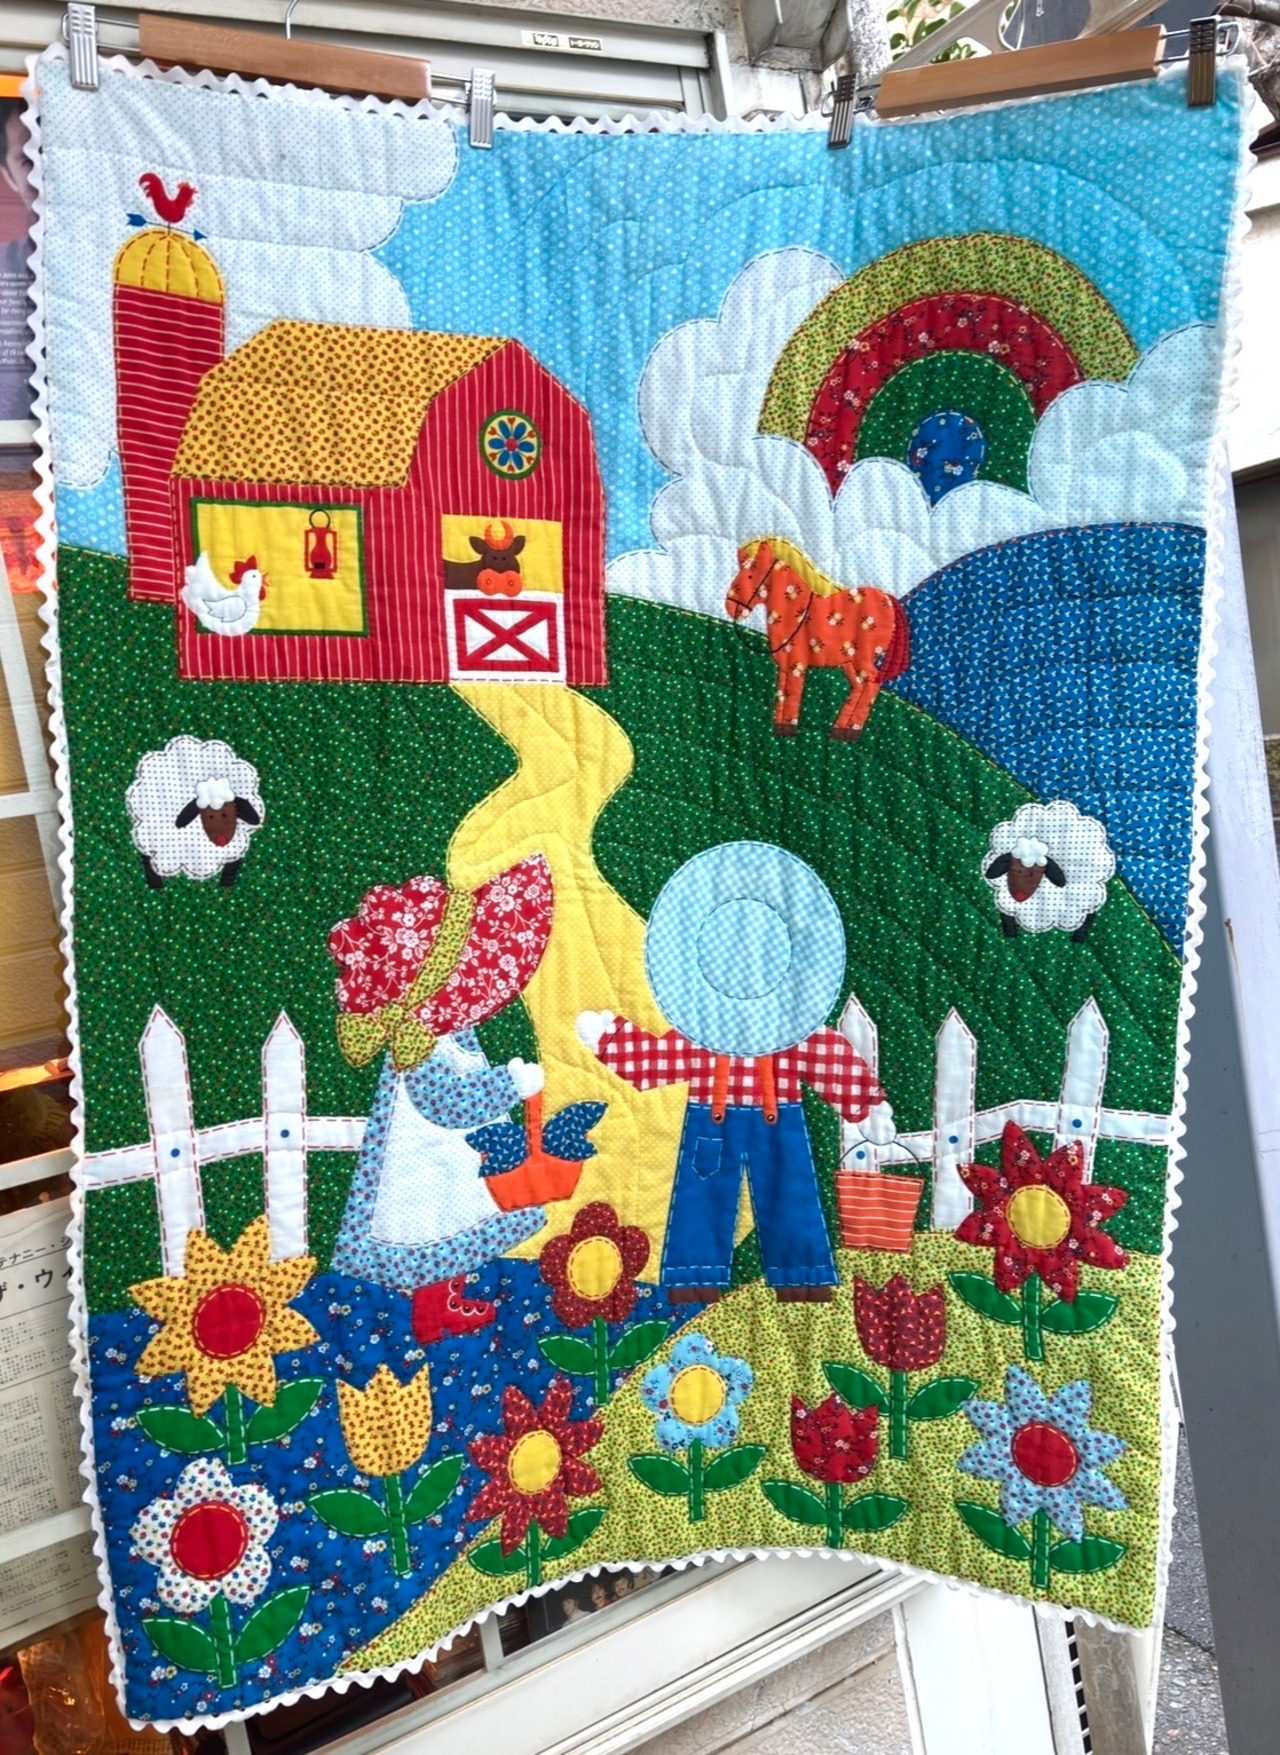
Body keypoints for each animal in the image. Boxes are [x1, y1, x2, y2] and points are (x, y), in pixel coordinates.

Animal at [126, 737, 264, 890]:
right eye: (209, 816)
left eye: (228, 813)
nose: (221, 841)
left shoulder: (234, 850)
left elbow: (231, 867)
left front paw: (226, 883)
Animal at [725, 537, 911, 740]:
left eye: (750, 577)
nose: (730, 608)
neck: (794, 609)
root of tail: (888, 598)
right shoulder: (784, 666)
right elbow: (782, 693)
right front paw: (779, 728)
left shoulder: (796, 664)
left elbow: (792, 694)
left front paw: (789, 728)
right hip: (848, 661)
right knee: (859, 686)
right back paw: (841, 729)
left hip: (863, 657)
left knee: (872, 685)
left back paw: (852, 729)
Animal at [982, 801, 1115, 942]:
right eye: (1012, 870)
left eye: (1033, 874)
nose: (1019, 896)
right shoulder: (1007, 906)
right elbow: (1008, 922)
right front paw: (1011, 936)